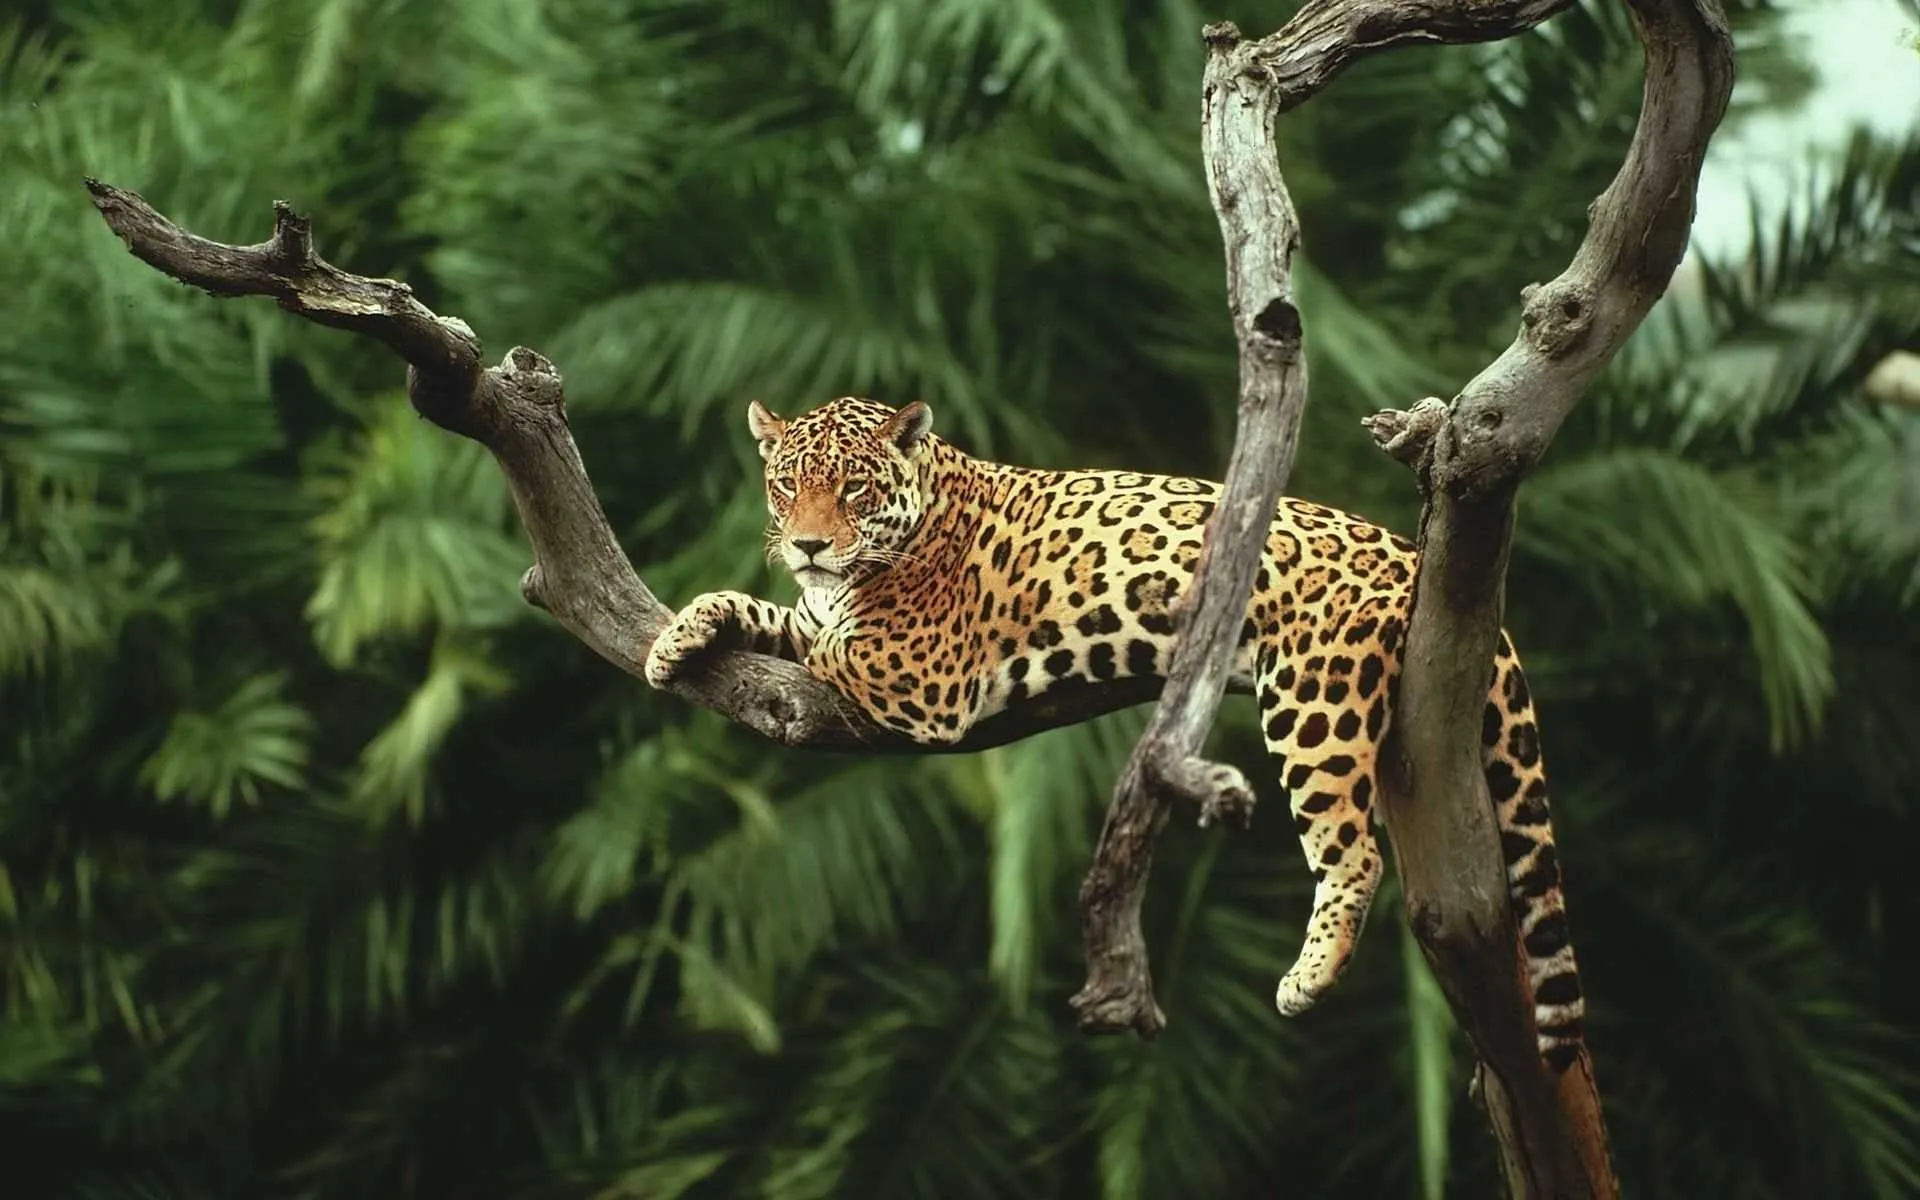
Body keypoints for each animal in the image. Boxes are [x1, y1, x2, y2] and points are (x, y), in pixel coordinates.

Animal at [645, 396, 1585, 1070]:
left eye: (855, 490)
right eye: (785, 485)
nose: (807, 544)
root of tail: (1409, 554)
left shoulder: (921, 672)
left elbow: (828, 639)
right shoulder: (826, 614)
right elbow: (771, 611)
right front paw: (677, 637)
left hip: (1313, 699)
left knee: (1352, 852)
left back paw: (1307, 978)